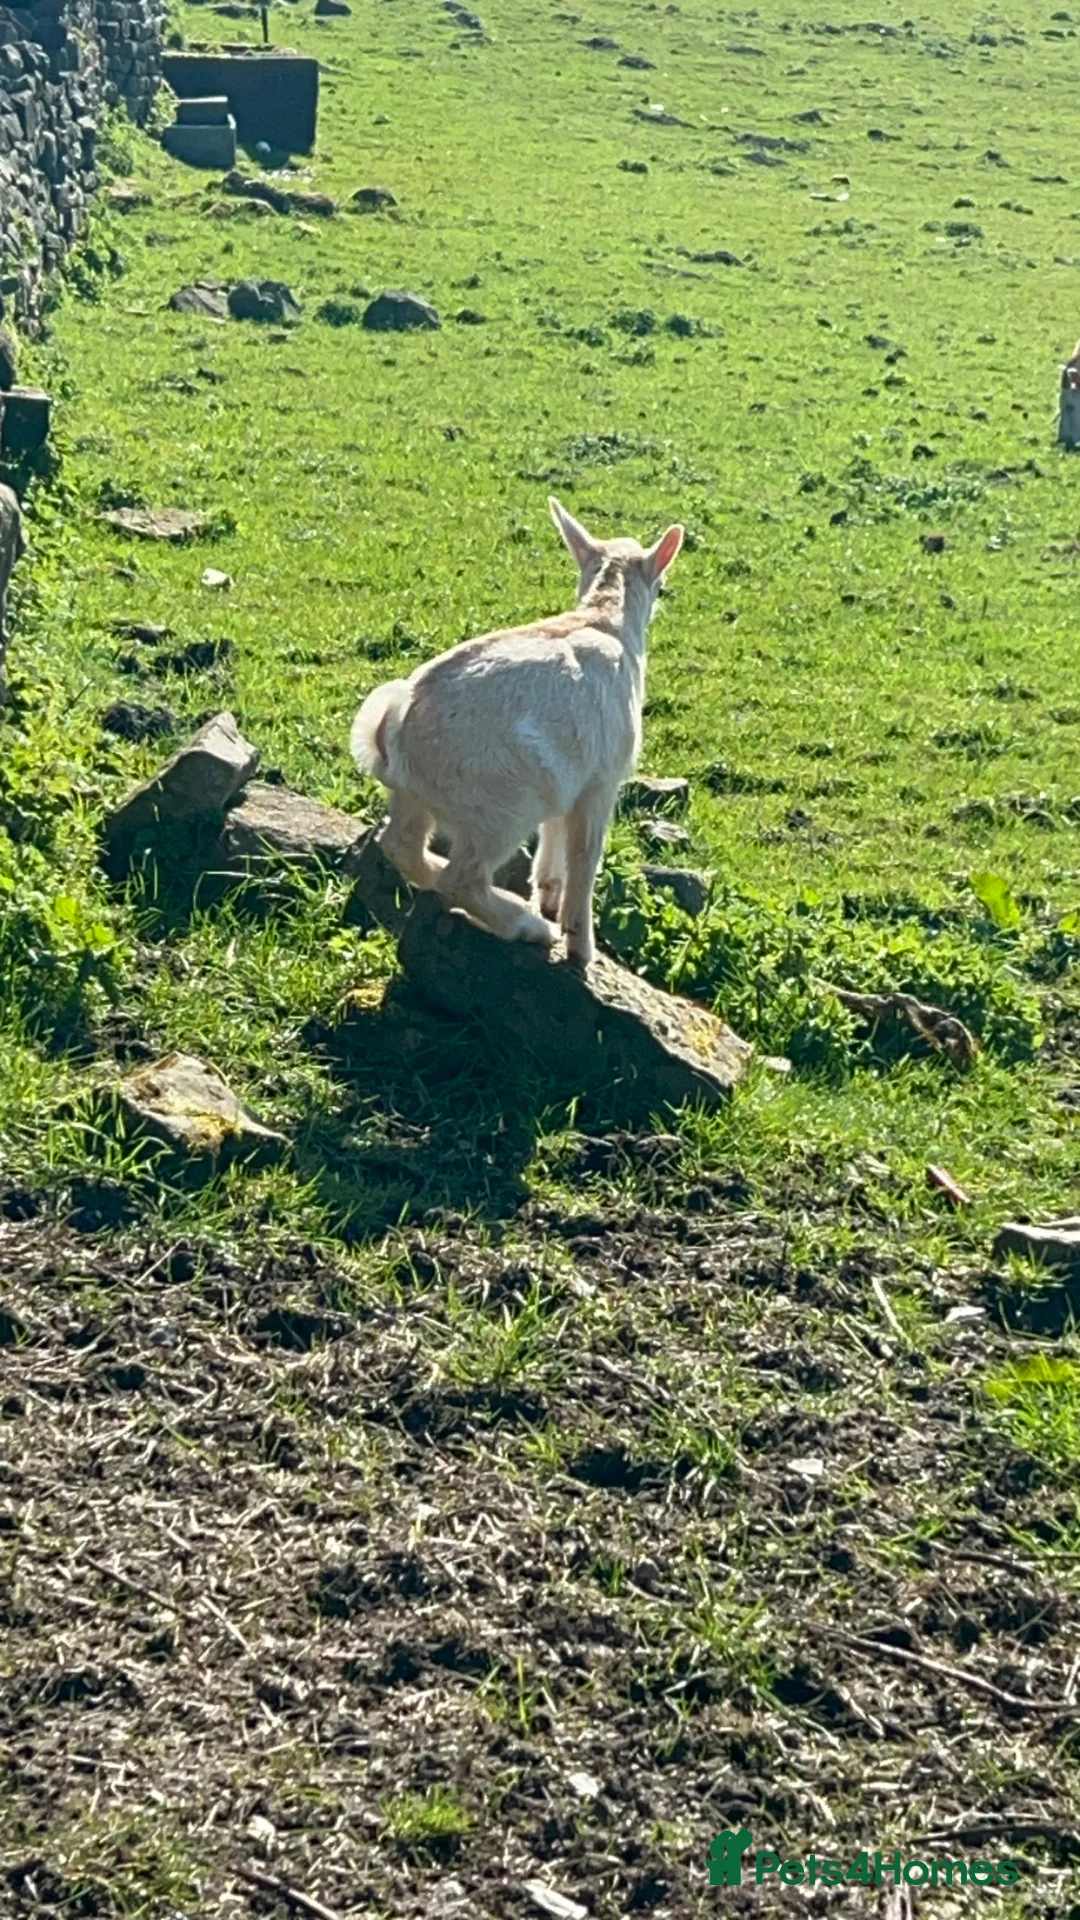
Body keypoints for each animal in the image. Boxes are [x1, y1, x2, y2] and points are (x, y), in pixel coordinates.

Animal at [350, 496, 684, 966]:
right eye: (661, 585)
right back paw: (529, 927)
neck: (605, 619)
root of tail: (396, 721)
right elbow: (584, 856)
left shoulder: (570, 775)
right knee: (463, 878)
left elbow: (554, 839)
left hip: (421, 796)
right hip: (502, 806)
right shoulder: (601, 781)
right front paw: (580, 949)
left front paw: (548, 895)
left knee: (401, 845)